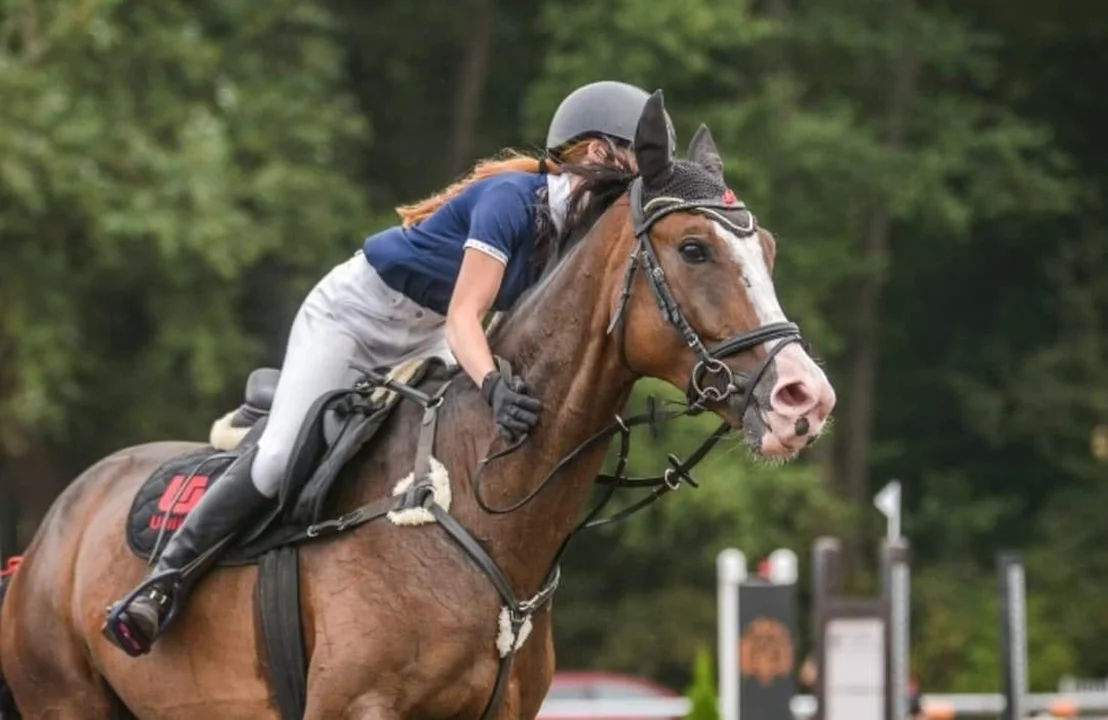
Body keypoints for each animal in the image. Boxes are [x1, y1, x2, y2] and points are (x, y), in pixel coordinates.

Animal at [0, 89, 833, 717]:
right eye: (694, 249)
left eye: (767, 252)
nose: (806, 399)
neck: (471, 498)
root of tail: (49, 533)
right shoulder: (356, 708)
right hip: (64, 699)